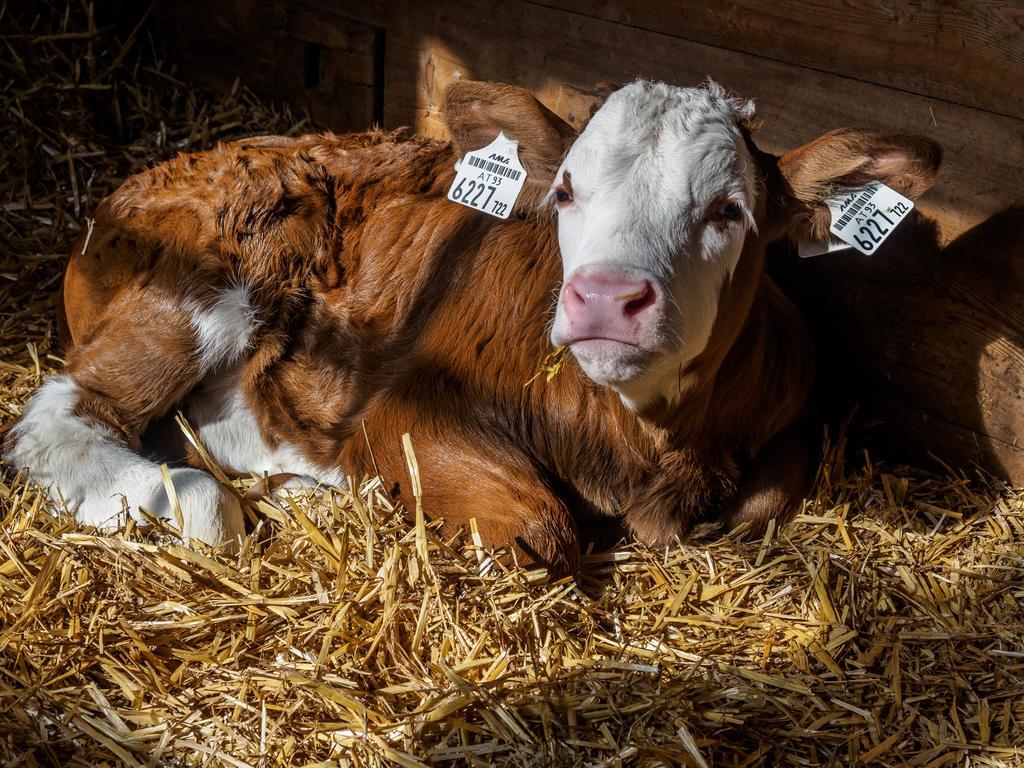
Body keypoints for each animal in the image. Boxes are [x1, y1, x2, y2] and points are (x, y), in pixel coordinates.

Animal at [2, 81, 942, 573]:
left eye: (729, 209)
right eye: (564, 190)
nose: (604, 298)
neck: (637, 446)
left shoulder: (793, 410)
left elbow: (760, 508)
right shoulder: (397, 407)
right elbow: (539, 525)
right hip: (188, 294)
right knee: (80, 431)